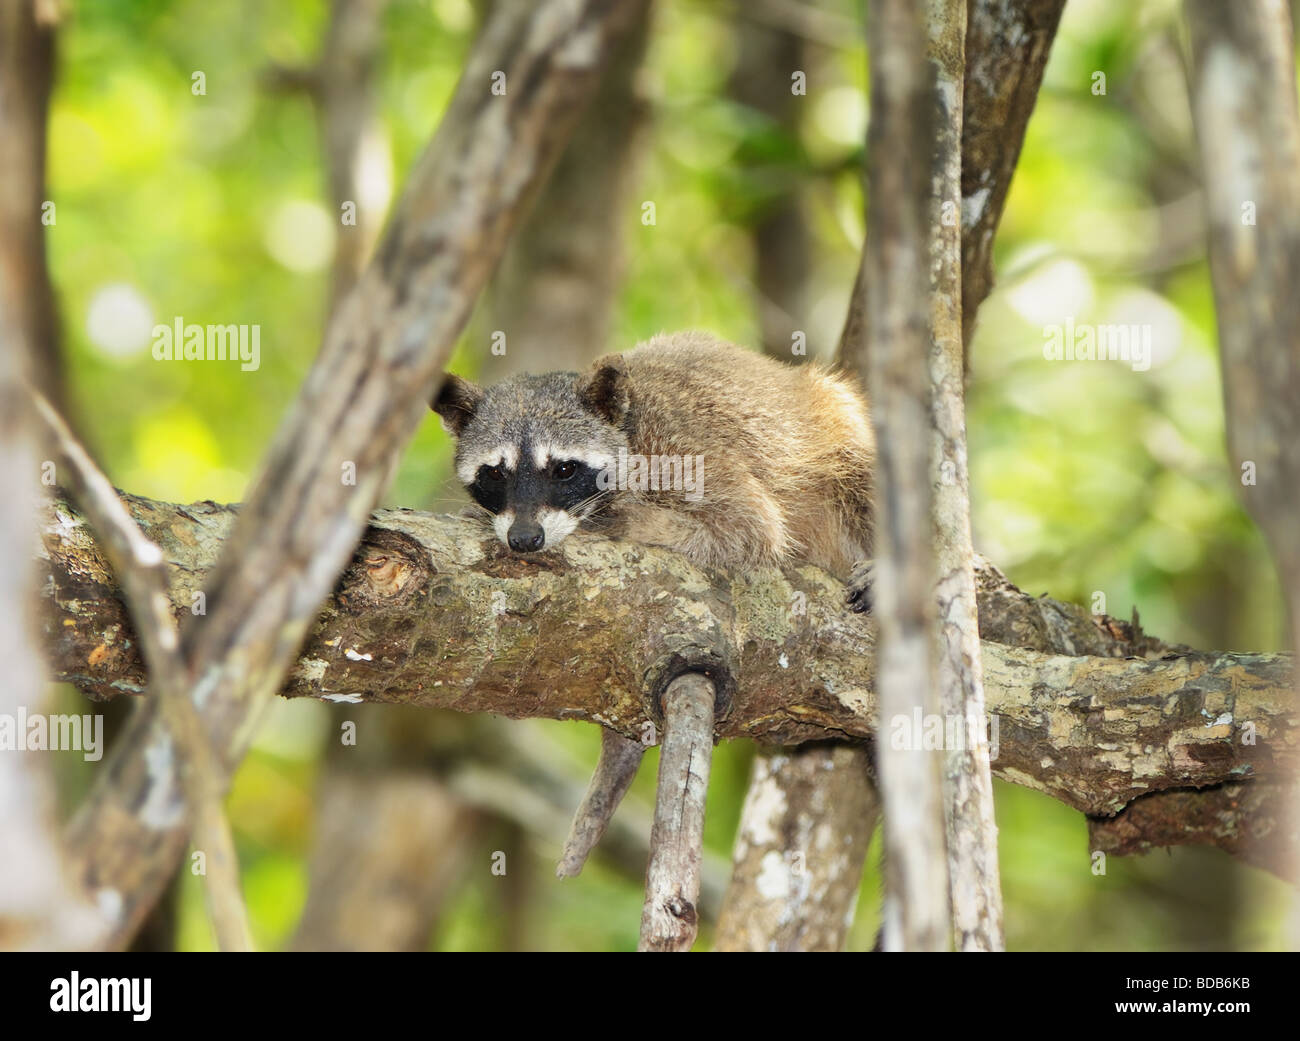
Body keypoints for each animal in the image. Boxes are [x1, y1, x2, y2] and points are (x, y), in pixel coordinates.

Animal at [432, 331, 875, 607]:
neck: (627, 427)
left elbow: (750, 530)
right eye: (495, 473)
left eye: (563, 470)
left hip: (838, 427)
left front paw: (636, 521)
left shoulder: (680, 453)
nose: (524, 539)